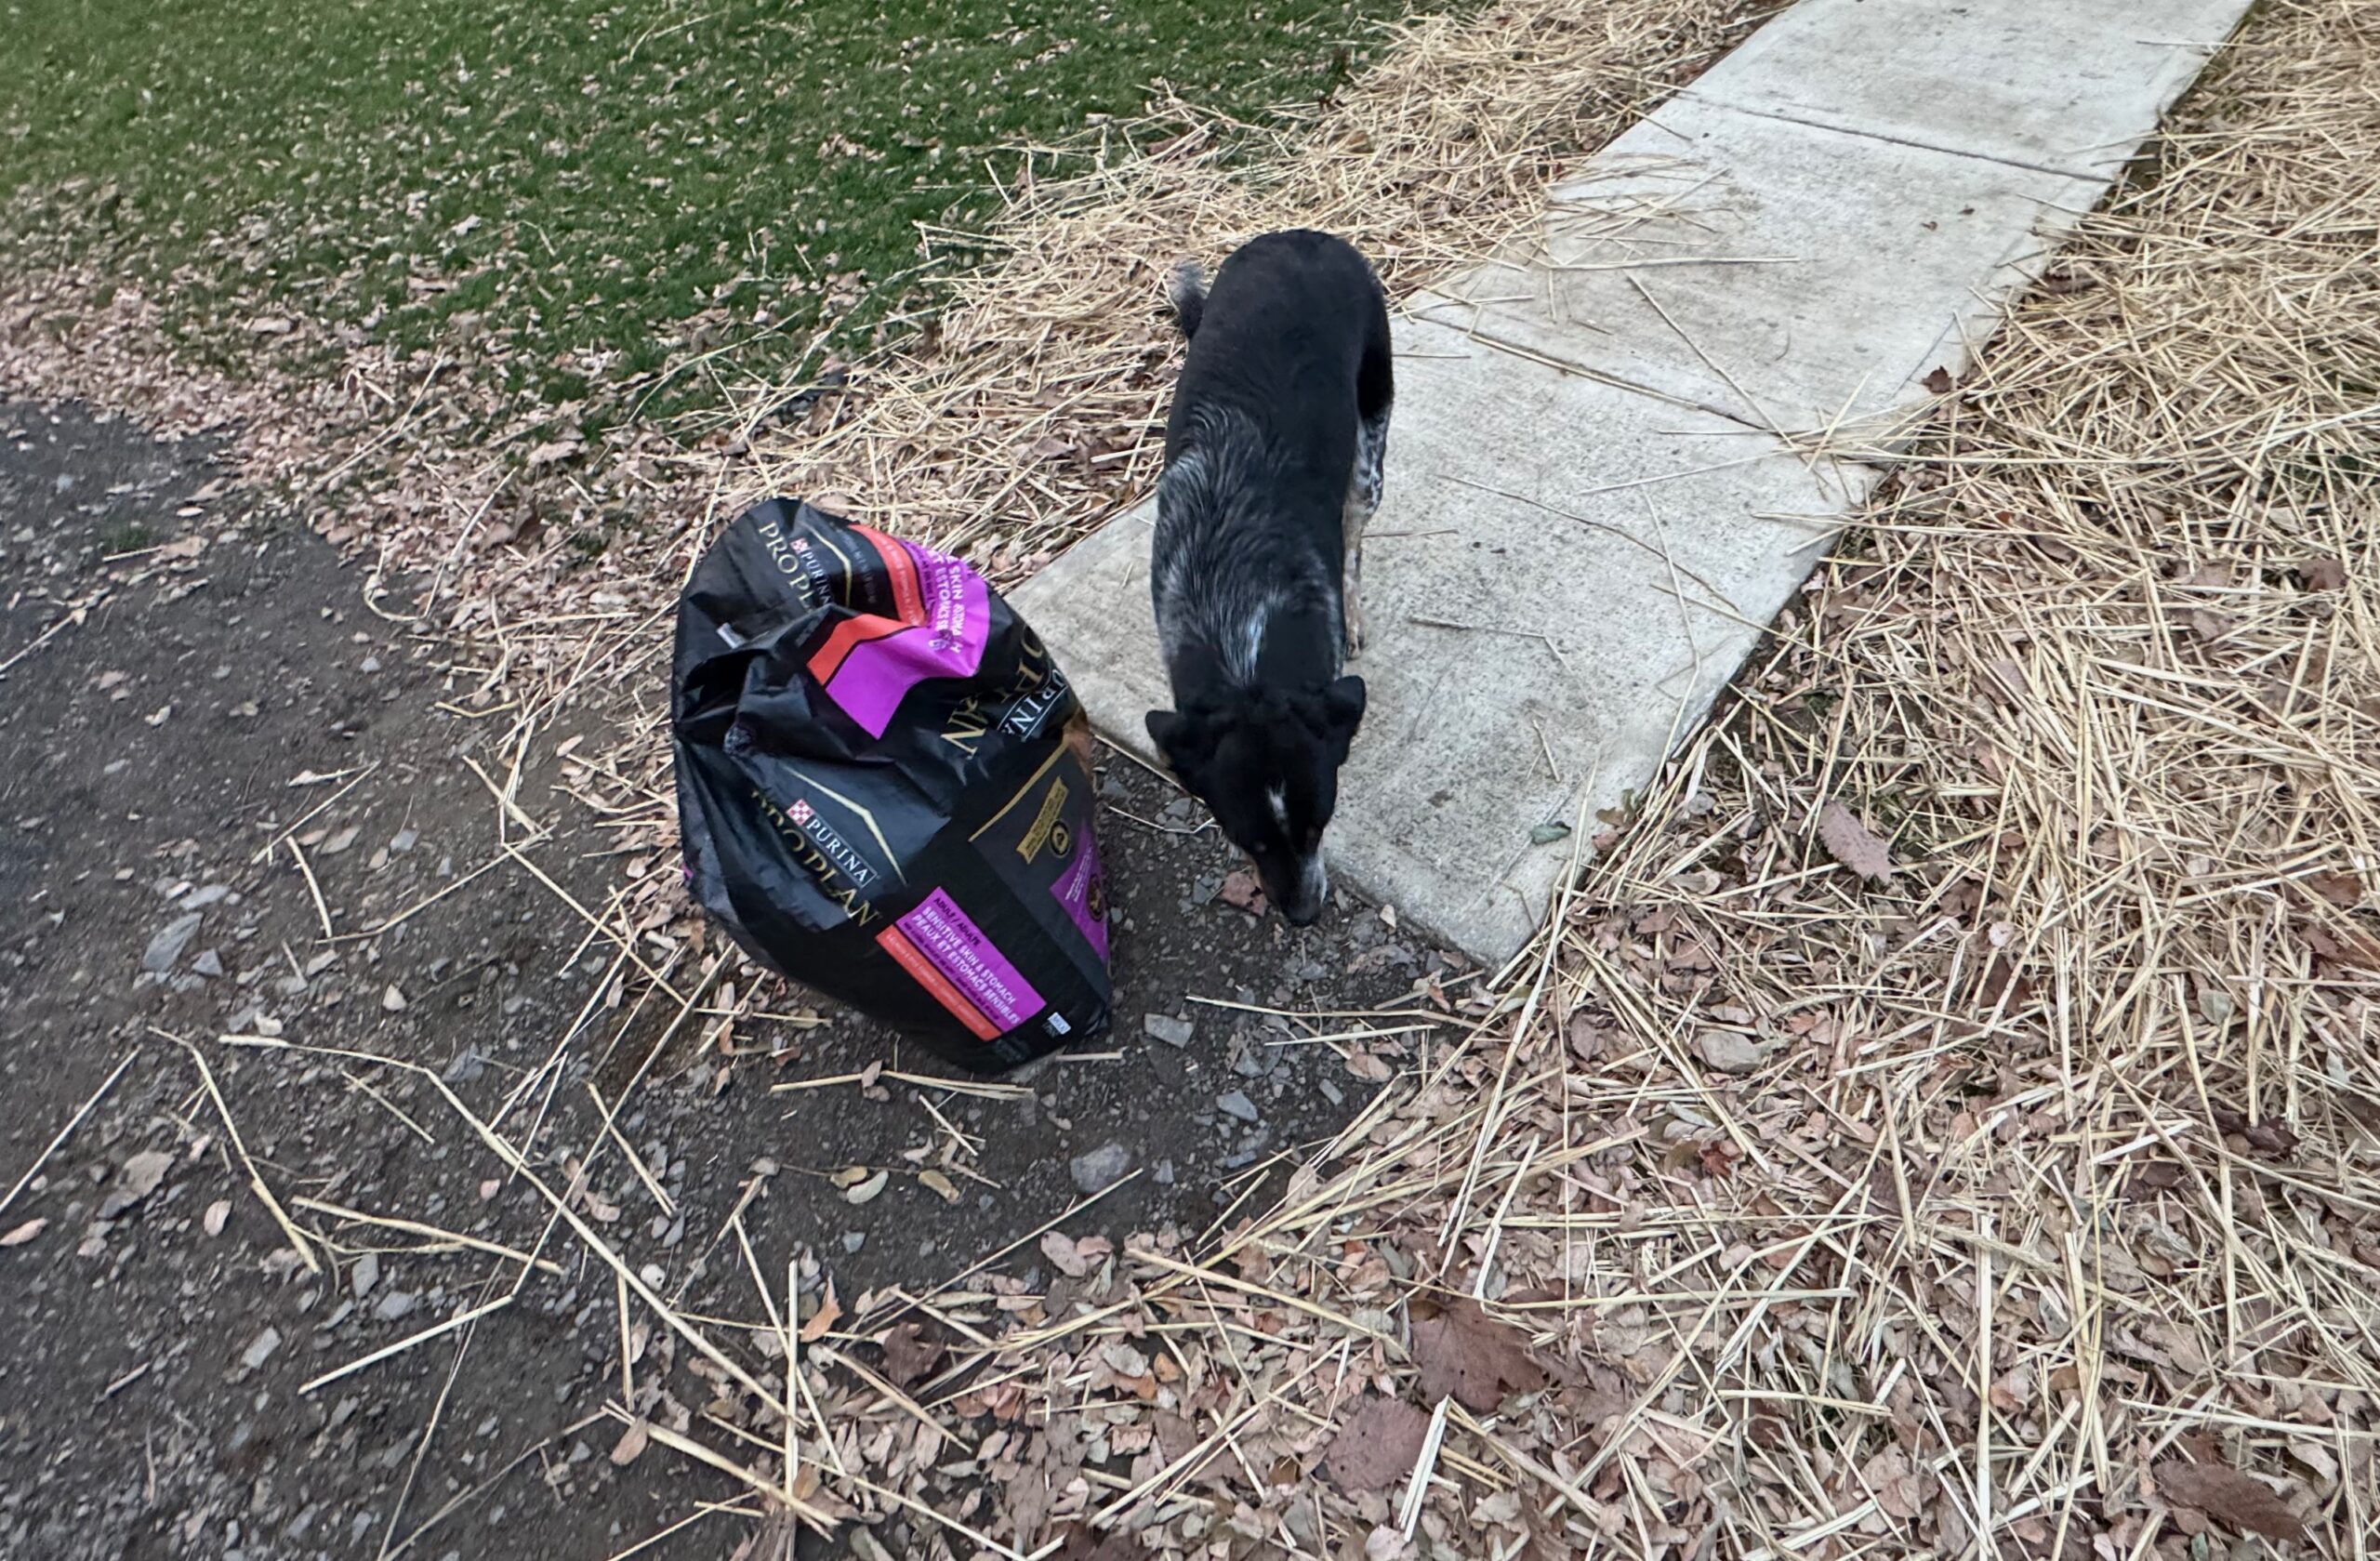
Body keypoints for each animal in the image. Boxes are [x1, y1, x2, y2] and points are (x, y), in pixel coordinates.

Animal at [1137, 232, 1390, 928]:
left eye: (1320, 826)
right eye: (1244, 838)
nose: (1302, 915)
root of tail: (1300, 238)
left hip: (1371, 446)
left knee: (1355, 534)